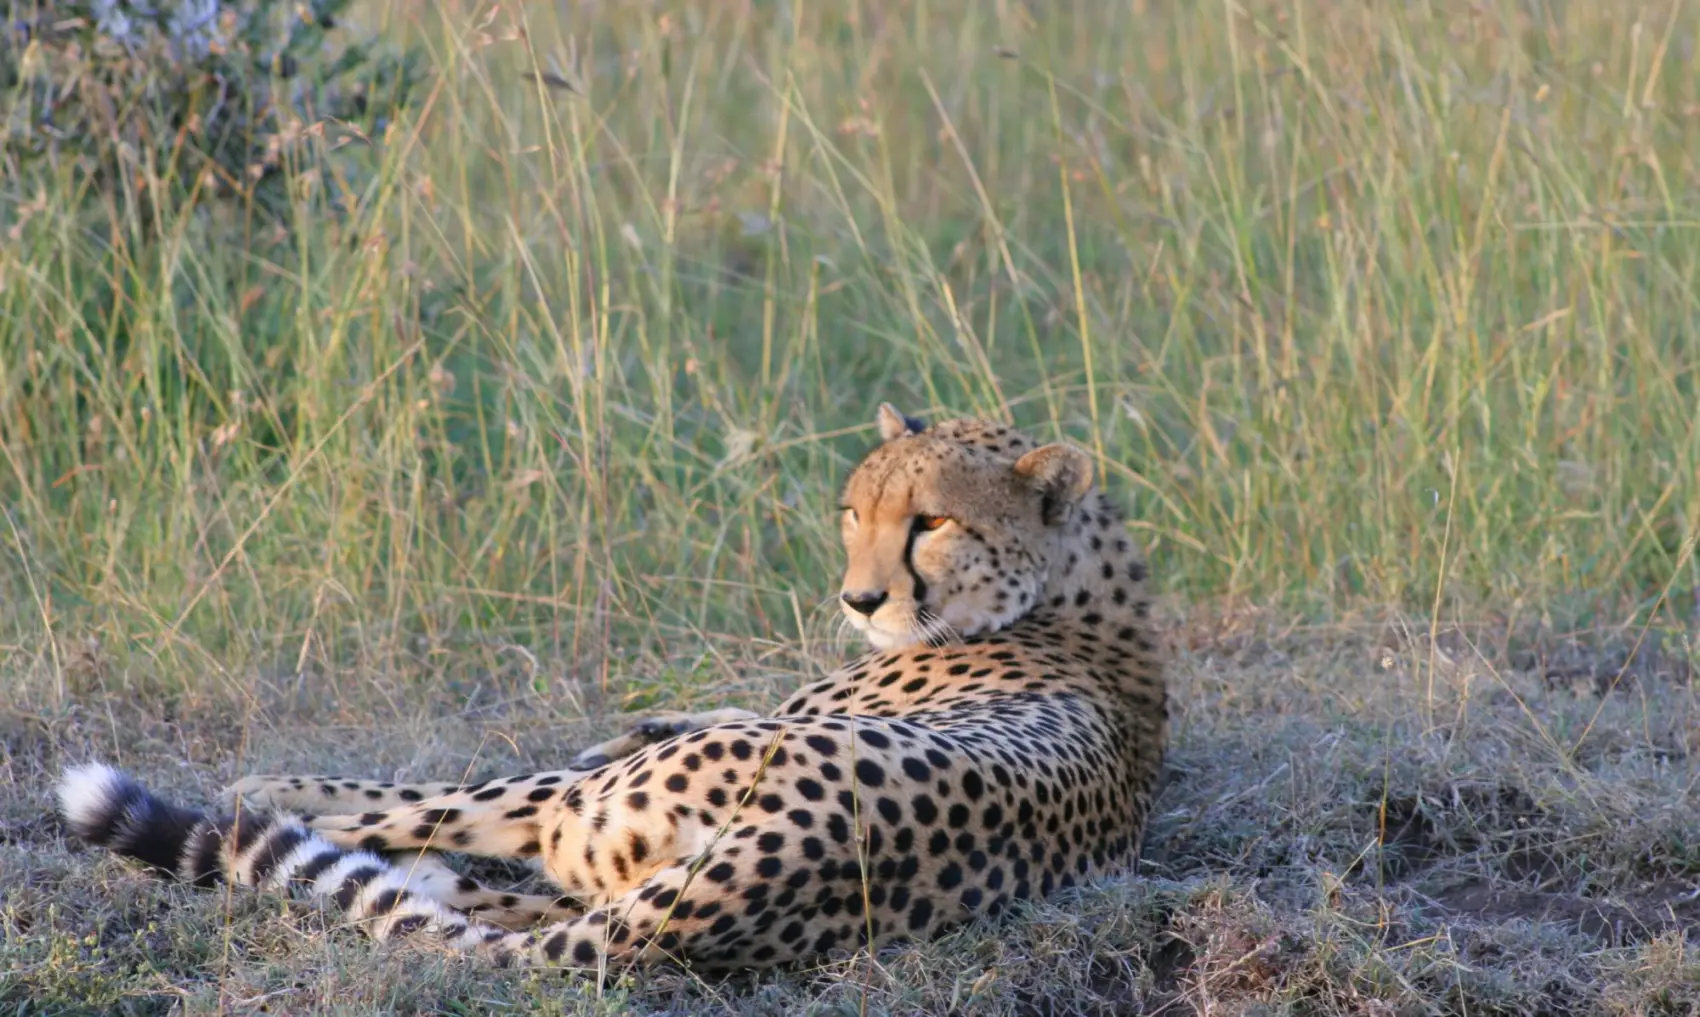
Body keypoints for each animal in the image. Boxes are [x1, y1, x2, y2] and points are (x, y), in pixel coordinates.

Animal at [56, 404, 1167, 973]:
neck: (1077, 589)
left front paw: (280, 785)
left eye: (931, 522)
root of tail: (799, 852)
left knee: (449, 826)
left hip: (584, 814)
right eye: (855, 509)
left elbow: (412, 792)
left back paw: (282, 813)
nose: (858, 598)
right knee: (517, 903)